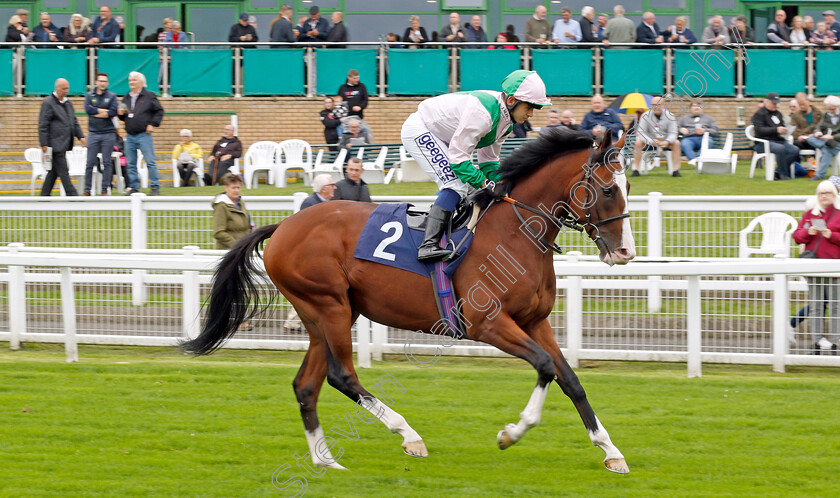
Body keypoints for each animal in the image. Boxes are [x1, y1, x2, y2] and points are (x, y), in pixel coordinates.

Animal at [180, 128, 632, 474]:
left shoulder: (534, 321)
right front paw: (512, 432)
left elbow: (569, 378)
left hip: (323, 314)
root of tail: (284, 226)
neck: (514, 232)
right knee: (342, 376)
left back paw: (326, 460)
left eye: (628, 187)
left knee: (307, 385)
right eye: (609, 189)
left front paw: (611, 451)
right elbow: (543, 366)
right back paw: (408, 435)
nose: (625, 251)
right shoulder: (487, 323)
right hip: (328, 305)